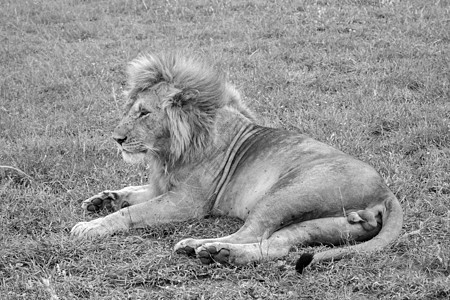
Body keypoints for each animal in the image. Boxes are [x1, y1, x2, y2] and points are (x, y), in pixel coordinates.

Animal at [71, 51, 404, 272]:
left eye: (143, 113)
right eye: (132, 110)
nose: (116, 139)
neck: (169, 152)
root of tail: (386, 191)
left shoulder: (187, 202)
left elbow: (133, 212)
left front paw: (91, 226)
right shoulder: (162, 186)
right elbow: (131, 191)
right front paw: (102, 200)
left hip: (285, 194)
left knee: (251, 233)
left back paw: (202, 247)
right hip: (322, 224)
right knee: (277, 244)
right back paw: (219, 253)